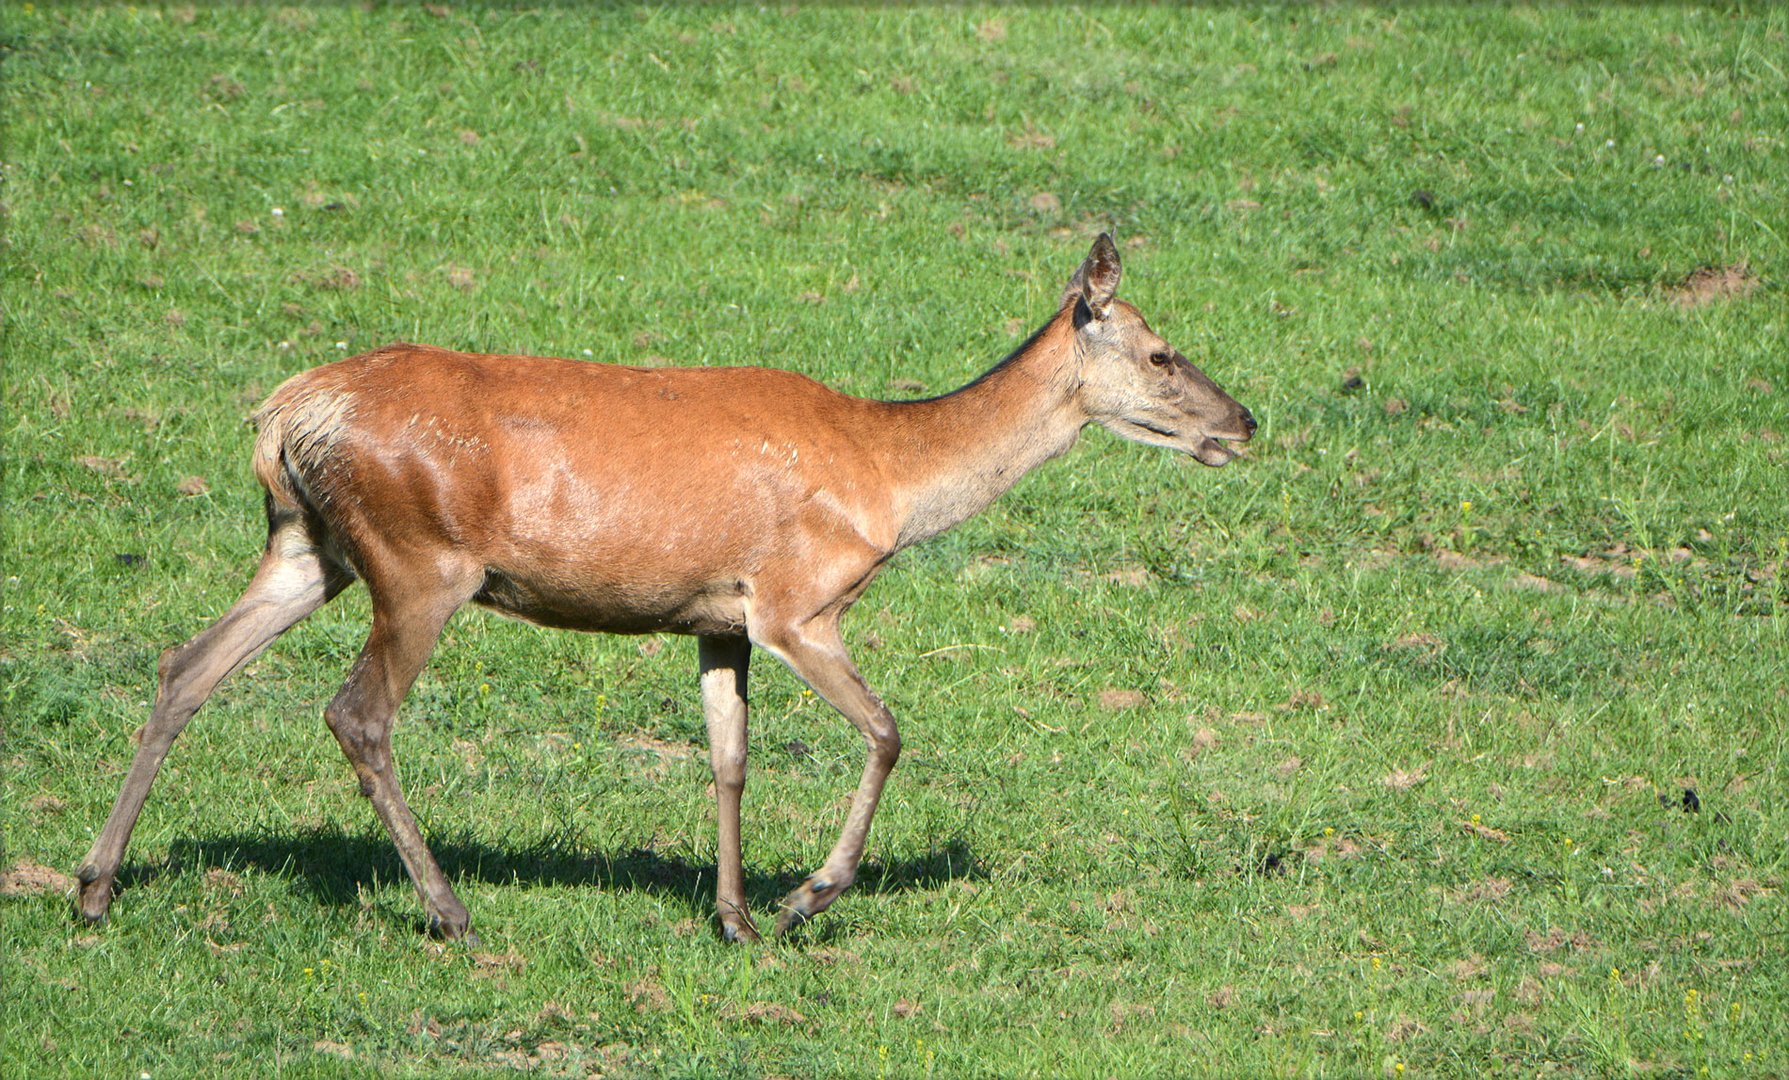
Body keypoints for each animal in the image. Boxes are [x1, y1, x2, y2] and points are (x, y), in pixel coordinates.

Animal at [76, 232, 1259, 944]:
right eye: (1162, 352)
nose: (1244, 422)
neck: (888, 477)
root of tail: (284, 415)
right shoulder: (796, 600)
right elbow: (887, 732)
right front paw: (804, 898)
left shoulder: (718, 618)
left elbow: (729, 758)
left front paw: (732, 917)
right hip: (418, 559)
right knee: (355, 712)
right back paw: (452, 912)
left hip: (304, 543)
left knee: (185, 666)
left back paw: (93, 886)